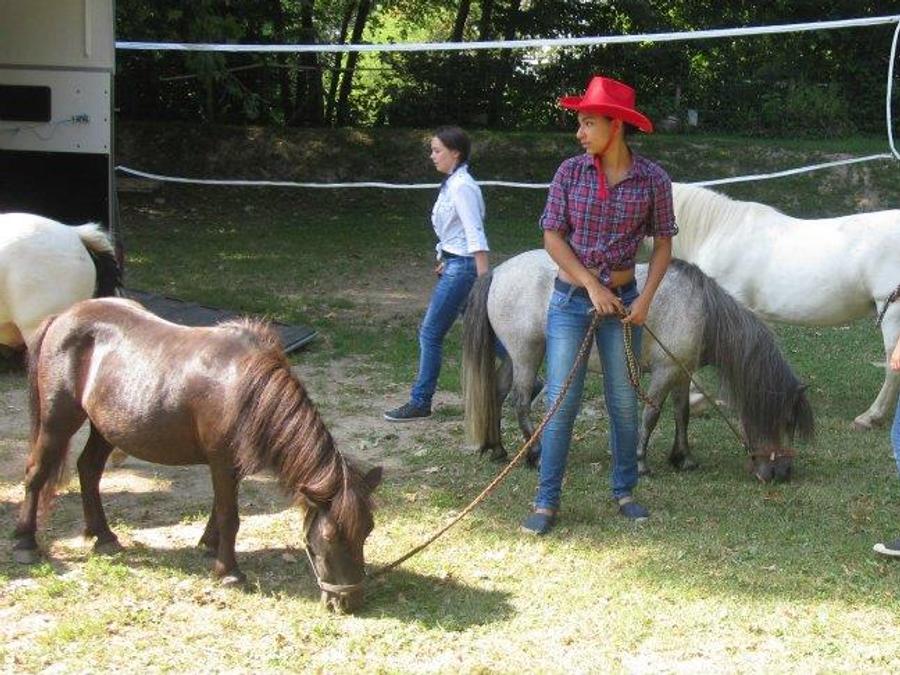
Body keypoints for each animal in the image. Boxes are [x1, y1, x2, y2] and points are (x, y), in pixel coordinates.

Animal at [13, 298, 382, 613]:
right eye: (330, 537)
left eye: (368, 530)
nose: (349, 602)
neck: (246, 388)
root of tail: (62, 316)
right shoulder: (221, 461)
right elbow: (230, 515)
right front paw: (229, 572)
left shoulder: (231, 464)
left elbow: (220, 508)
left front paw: (209, 545)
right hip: (58, 420)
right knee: (36, 472)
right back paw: (25, 543)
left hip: (107, 427)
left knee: (88, 469)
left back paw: (103, 536)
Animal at [462, 250, 813, 482]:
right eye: (785, 422)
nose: (783, 473)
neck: (700, 309)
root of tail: (496, 273)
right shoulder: (664, 373)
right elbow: (651, 415)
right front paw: (642, 463)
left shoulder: (681, 372)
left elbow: (682, 414)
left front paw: (683, 458)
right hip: (526, 355)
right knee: (520, 401)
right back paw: (533, 455)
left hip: (512, 358)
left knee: (496, 394)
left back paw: (498, 449)